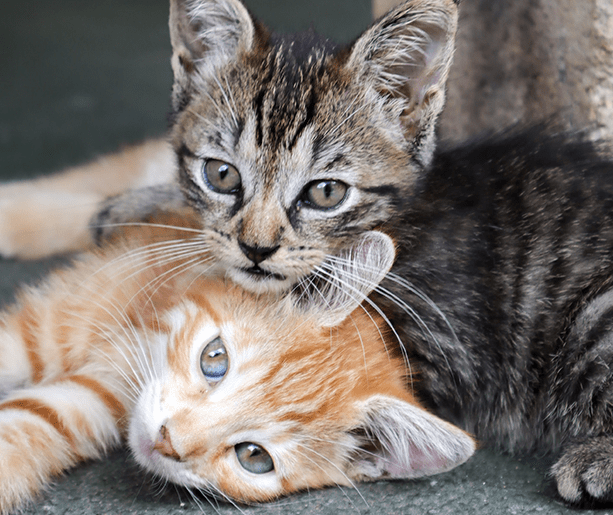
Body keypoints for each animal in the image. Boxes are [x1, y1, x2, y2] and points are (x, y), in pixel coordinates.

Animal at [0, 217, 474, 512]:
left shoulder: (88, 403)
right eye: (215, 359)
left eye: (253, 457)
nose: (167, 441)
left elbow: (25, 425)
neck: (147, 332)